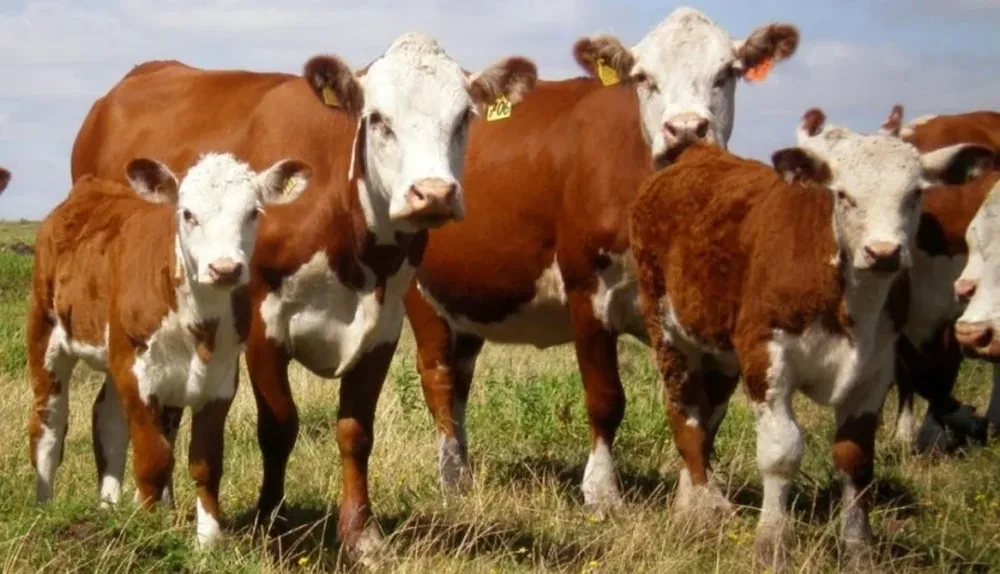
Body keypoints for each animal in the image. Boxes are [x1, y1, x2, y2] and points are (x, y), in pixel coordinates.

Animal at [27, 153, 311, 548]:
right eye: (188, 213)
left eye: (253, 212)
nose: (225, 268)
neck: (198, 323)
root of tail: (87, 189)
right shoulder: (136, 372)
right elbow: (153, 460)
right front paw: (147, 531)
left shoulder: (221, 381)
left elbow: (206, 462)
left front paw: (208, 541)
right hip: (46, 332)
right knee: (49, 423)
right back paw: (45, 510)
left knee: (108, 420)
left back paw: (107, 509)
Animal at [69, 33, 539, 563]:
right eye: (378, 118)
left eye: (463, 117)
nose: (433, 193)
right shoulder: (261, 325)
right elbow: (279, 428)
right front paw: (270, 523)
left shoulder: (383, 328)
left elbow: (356, 433)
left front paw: (361, 534)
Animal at [403, 6, 801, 508]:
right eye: (644, 77)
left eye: (727, 73)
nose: (686, 129)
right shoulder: (586, 290)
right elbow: (606, 397)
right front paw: (602, 491)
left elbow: (707, 409)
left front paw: (697, 499)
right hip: (421, 295)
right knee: (437, 377)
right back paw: (451, 478)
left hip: (470, 297)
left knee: (459, 382)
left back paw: (464, 470)